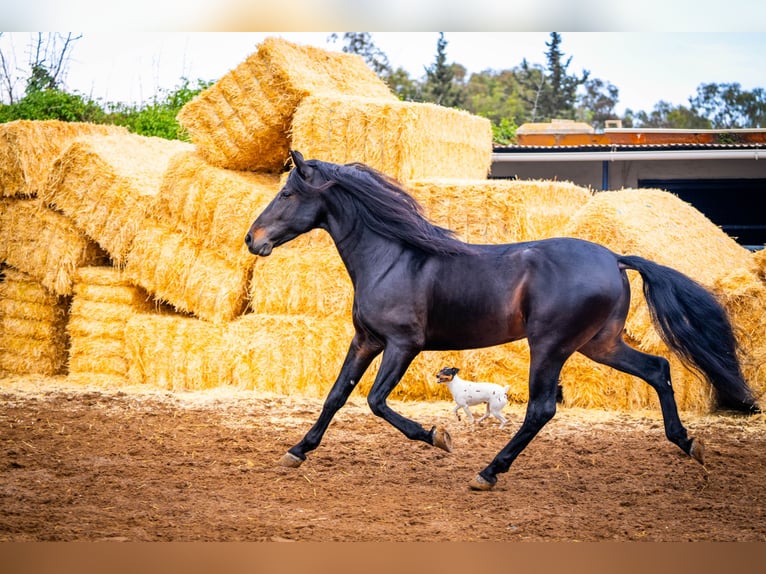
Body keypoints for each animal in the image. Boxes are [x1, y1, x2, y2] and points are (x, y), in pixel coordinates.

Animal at [248, 151, 760, 492]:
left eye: (288, 193)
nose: (253, 240)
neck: (392, 257)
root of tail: (614, 257)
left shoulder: (402, 344)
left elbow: (375, 401)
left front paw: (438, 437)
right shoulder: (366, 340)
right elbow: (336, 396)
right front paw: (296, 451)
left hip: (551, 345)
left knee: (541, 408)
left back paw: (488, 472)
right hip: (600, 344)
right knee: (658, 369)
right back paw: (688, 443)